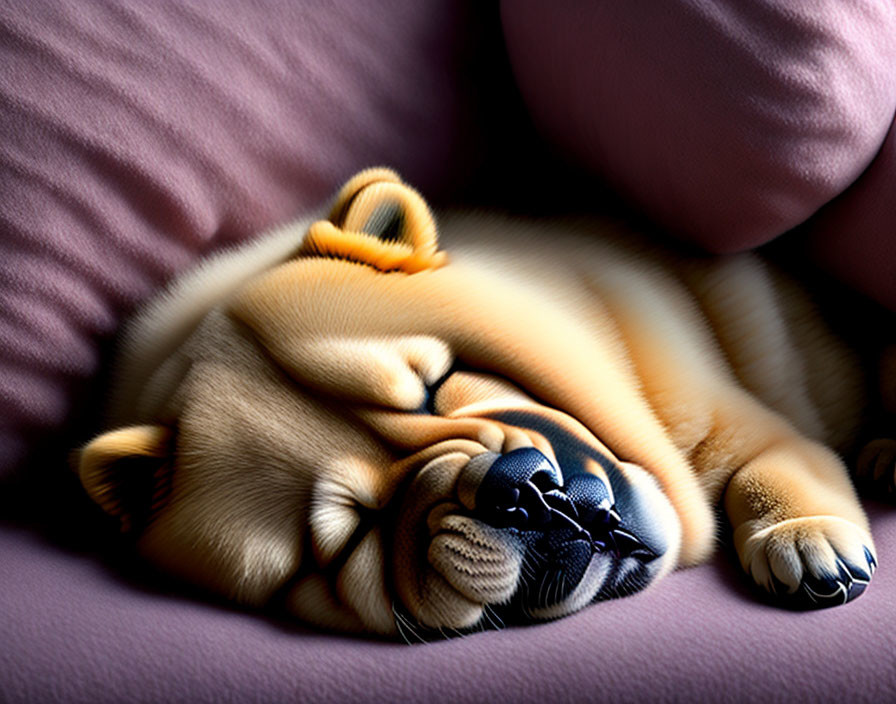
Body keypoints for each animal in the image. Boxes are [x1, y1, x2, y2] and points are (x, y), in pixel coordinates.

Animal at [79, 166, 888, 640]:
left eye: (437, 385)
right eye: (355, 530)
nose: (516, 492)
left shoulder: (738, 423)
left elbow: (770, 465)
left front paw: (808, 542)